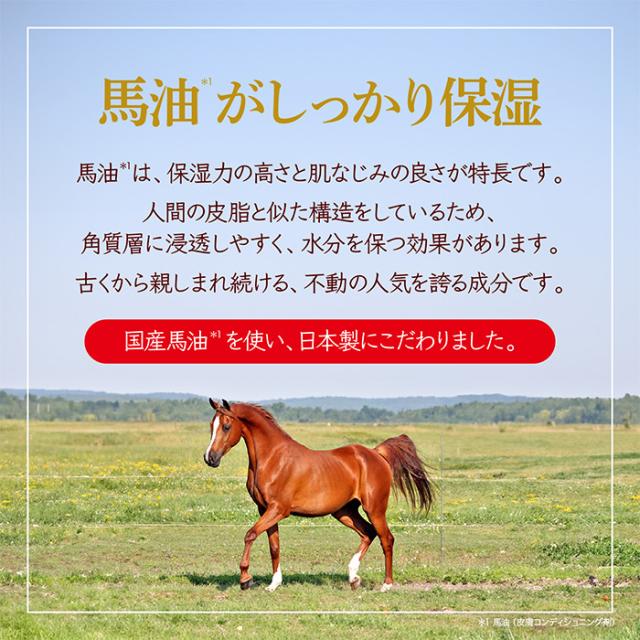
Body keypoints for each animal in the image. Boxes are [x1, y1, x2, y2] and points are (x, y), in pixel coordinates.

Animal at [203, 398, 434, 592]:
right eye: (211, 426)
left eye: (226, 426)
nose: (210, 458)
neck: (273, 459)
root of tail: (376, 454)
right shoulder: (265, 509)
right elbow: (274, 546)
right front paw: (273, 584)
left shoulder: (278, 509)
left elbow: (250, 534)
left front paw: (245, 579)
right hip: (344, 511)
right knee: (368, 533)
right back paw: (353, 578)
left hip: (374, 508)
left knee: (387, 539)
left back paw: (386, 585)